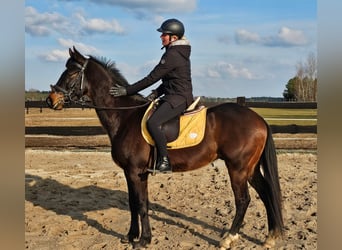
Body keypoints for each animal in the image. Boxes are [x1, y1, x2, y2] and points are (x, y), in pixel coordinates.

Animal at [46, 46, 284, 248]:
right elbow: (134, 203)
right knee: (266, 193)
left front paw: (144, 240)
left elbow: (141, 204)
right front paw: (132, 236)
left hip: (238, 168)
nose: (51, 100)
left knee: (243, 200)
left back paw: (228, 238)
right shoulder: (133, 173)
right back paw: (270, 237)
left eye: (72, 73)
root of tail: (259, 119)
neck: (124, 116)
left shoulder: (135, 172)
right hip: (250, 169)